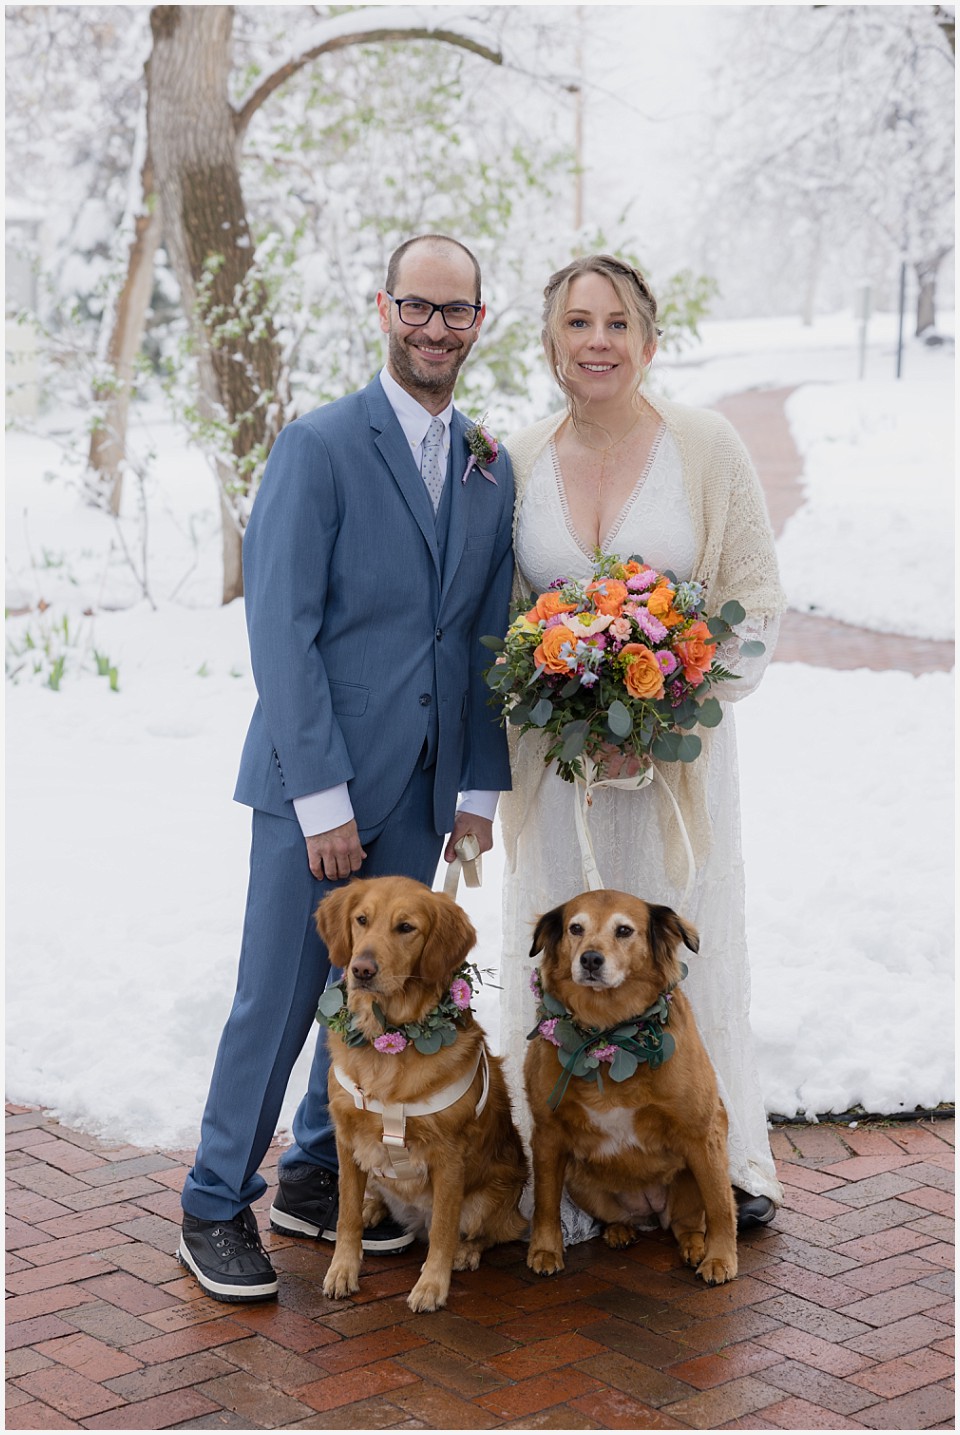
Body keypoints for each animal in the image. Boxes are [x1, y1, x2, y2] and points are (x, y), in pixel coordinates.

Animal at [314, 872, 528, 1314]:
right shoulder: (346, 1140)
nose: (361, 968)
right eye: (361, 920)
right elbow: (345, 1217)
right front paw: (342, 1270)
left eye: (406, 927)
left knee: (493, 1230)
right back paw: (373, 1207)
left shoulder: (449, 1156)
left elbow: (445, 1229)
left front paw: (432, 1286)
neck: (388, 1044)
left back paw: (467, 1251)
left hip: (493, 1194)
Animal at [525, 889, 734, 1285]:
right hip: (579, 1179)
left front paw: (721, 1259)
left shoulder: (703, 1131)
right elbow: (544, 1202)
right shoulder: (547, 1132)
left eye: (624, 930)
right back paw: (619, 1230)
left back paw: (696, 1247)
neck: (609, 1030)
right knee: (617, 1216)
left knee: (688, 1223)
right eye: (576, 928)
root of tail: (649, 1212)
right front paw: (544, 1250)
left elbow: (720, 1206)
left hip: (691, 1176)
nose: (590, 959)